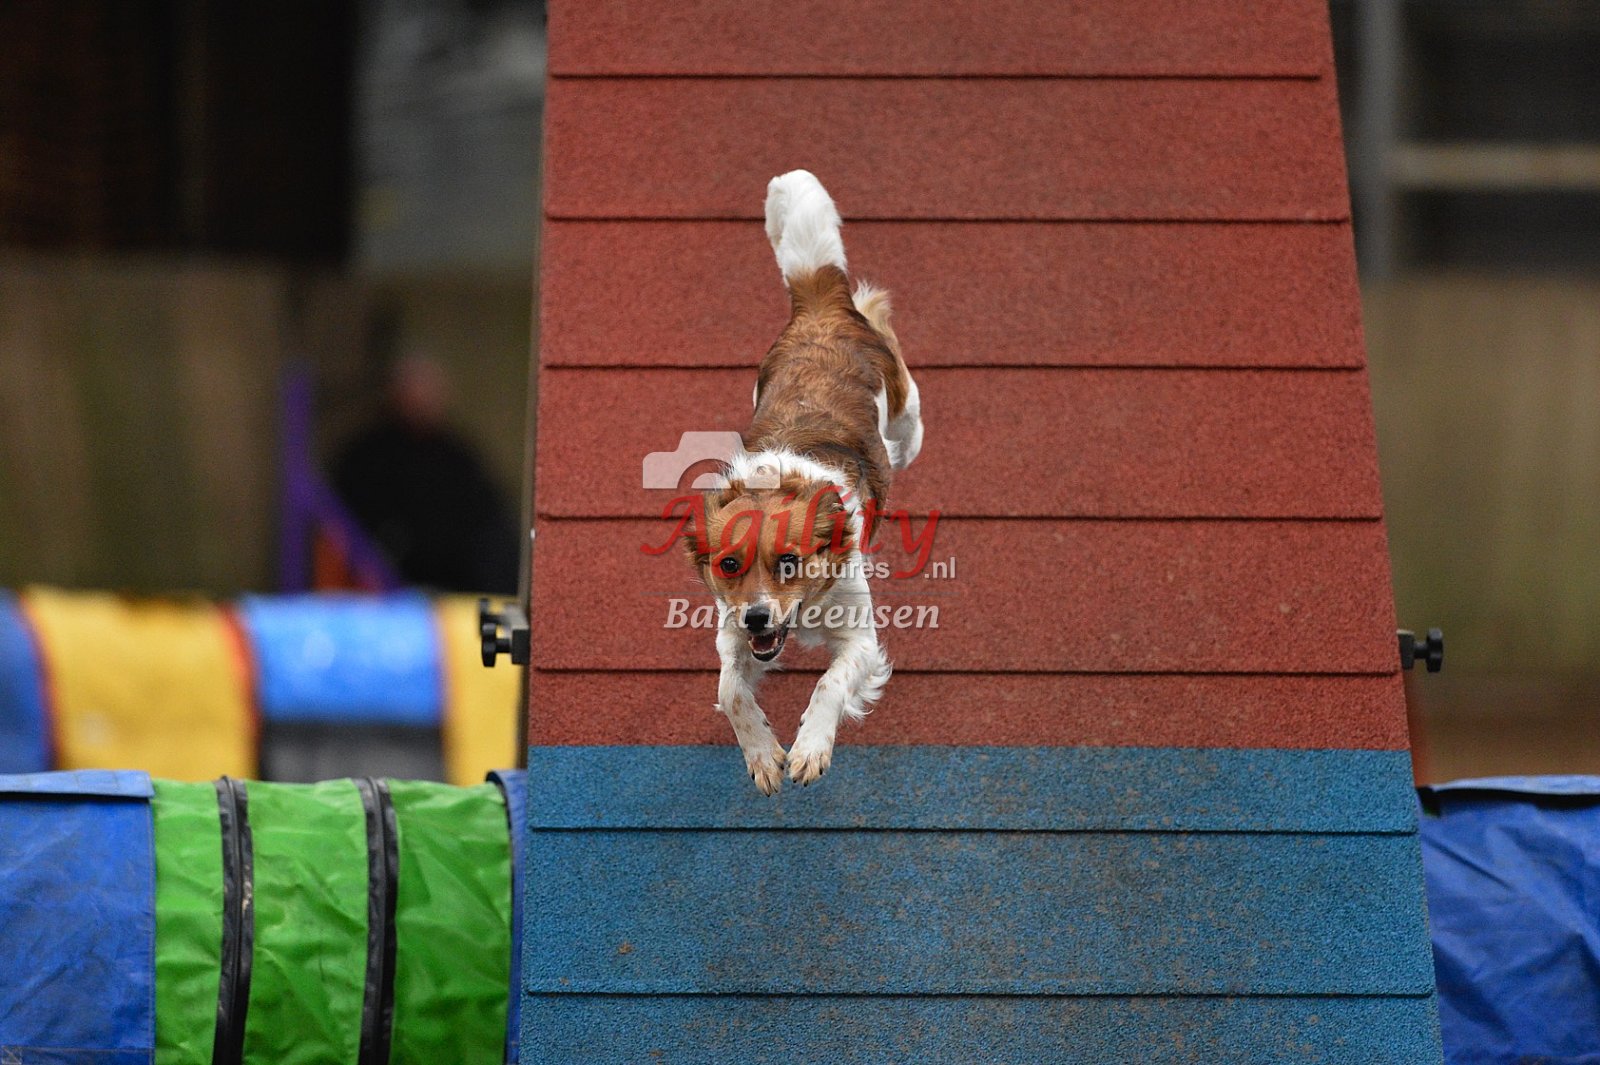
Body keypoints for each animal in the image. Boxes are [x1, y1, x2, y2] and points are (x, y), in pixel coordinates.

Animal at [683, 170, 923, 794]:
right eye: (729, 564)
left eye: (789, 561)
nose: (758, 617)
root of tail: (821, 308)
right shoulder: (732, 630)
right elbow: (730, 689)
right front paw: (764, 754)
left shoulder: (861, 638)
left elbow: (829, 683)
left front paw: (811, 748)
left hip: (907, 412)